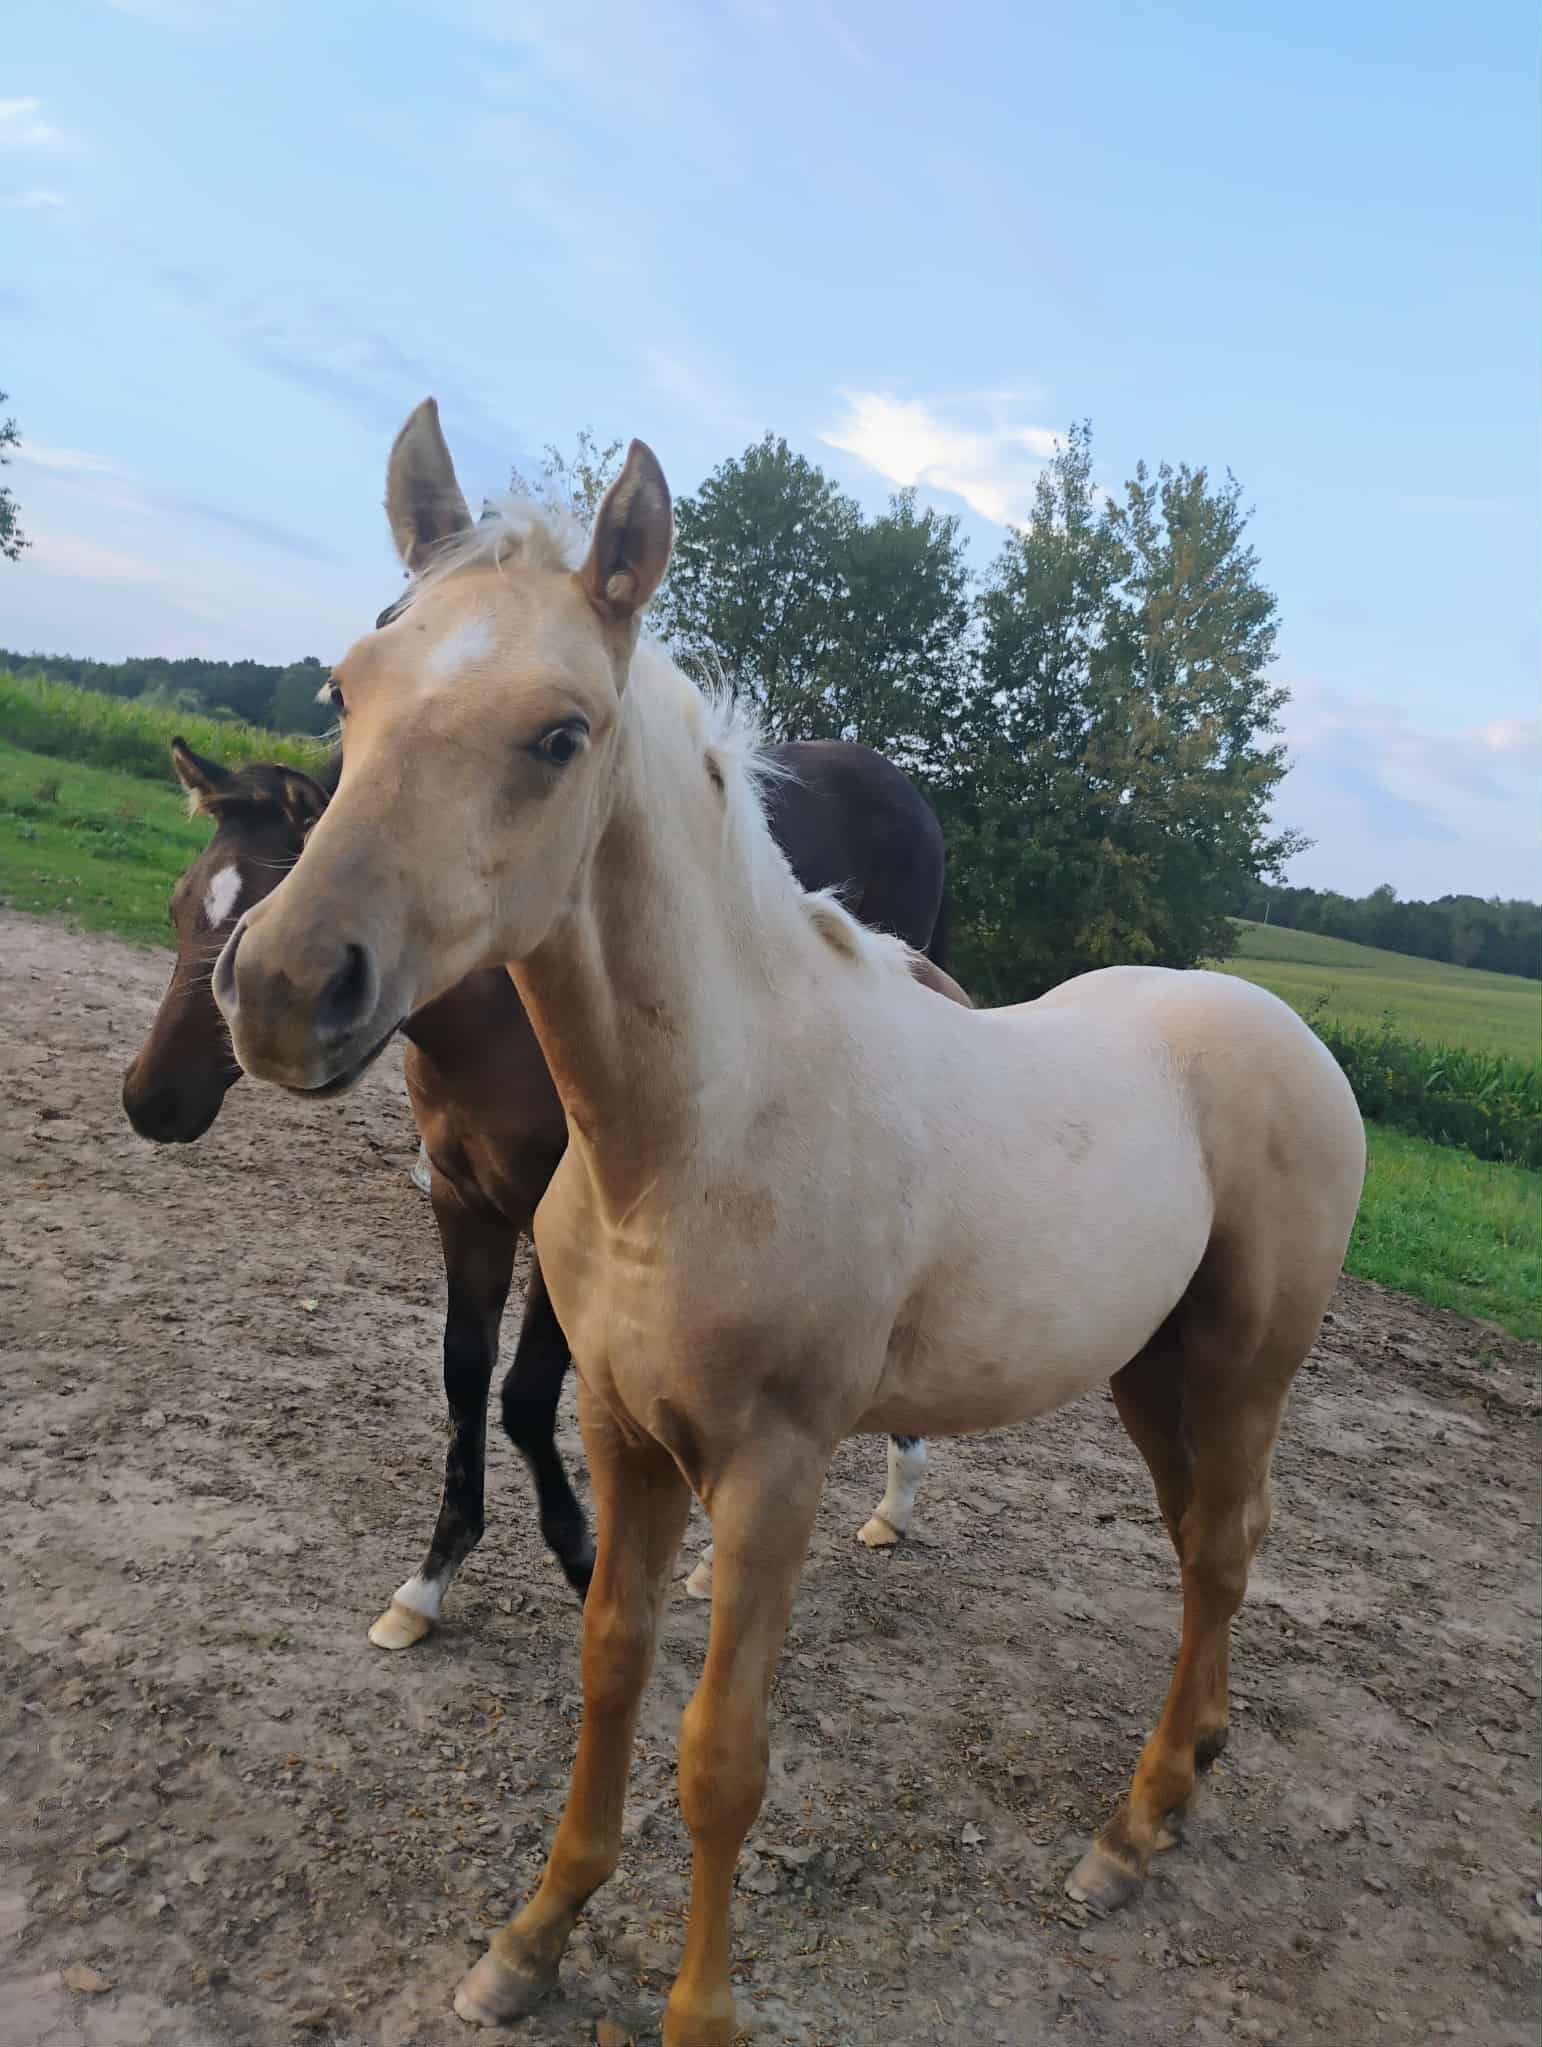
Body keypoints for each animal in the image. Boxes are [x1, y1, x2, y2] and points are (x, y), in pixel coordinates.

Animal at [123, 729, 954, 1644]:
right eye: (179, 906)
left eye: (257, 925)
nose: (150, 1099)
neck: (497, 1015)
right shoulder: (465, 1203)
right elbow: (464, 1376)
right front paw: (429, 1582)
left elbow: (524, 1397)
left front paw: (582, 1554)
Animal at [212, 405, 1365, 2047]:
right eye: (345, 690)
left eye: (559, 734)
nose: (284, 989)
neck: (701, 1129)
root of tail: (1285, 1026)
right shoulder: (623, 1436)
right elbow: (609, 1674)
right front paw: (531, 1938)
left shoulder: (772, 1471)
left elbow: (720, 1755)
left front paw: (698, 2011)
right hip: (1151, 1373)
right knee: (1208, 1544)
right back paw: (1184, 1778)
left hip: (1243, 1368)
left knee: (1220, 1550)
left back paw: (1131, 1829)